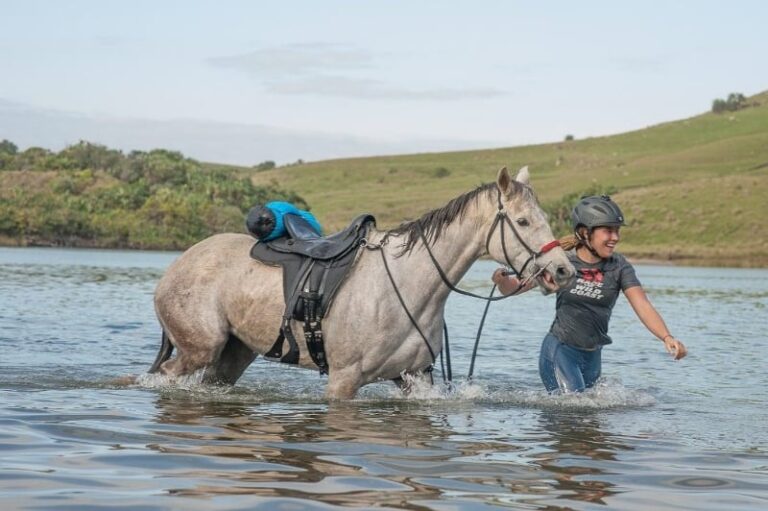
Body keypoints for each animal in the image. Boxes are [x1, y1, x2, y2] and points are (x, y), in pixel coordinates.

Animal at [147, 166, 575, 399]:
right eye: (522, 221)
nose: (563, 271)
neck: (408, 284)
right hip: (200, 348)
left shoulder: (414, 378)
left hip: (233, 354)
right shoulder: (343, 380)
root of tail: (178, 265)